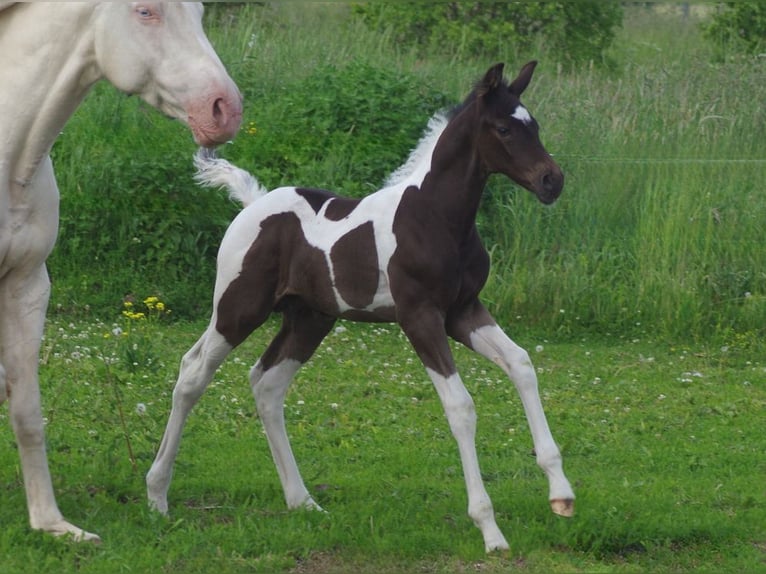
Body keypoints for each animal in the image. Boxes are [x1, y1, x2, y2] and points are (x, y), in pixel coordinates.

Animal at [0, 2, 242, 541]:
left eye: (200, 11)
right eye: (145, 11)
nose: (225, 109)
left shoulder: (27, 287)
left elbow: (27, 411)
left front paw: (52, 524)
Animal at [146, 62, 574, 553]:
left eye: (534, 125)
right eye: (503, 128)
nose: (552, 181)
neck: (435, 217)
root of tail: (253, 204)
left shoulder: (463, 311)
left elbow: (522, 365)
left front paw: (561, 494)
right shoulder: (420, 316)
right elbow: (461, 407)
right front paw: (489, 529)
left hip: (309, 320)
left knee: (267, 384)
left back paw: (302, 501)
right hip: (238, 308)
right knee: (193, 372)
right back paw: (157, 495)